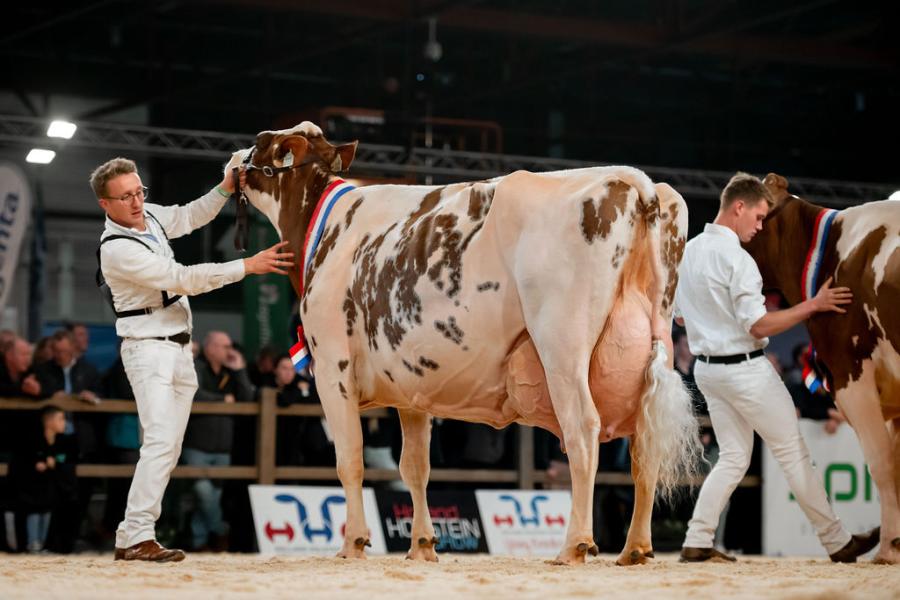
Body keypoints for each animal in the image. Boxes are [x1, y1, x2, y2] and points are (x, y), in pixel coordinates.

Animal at [229, 124, 700, 564]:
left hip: (562, 346)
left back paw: (574, 545)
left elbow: (350, 459)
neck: (328, 228)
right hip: (649, 348)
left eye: (264, 142)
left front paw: (353, 543)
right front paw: (422, 545)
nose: (234, 162)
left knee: (583, 430)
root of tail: (631, 179)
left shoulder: (332, 367)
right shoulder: (411, 387)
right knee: (644, 444)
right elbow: (414, 467)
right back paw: (635, 548)